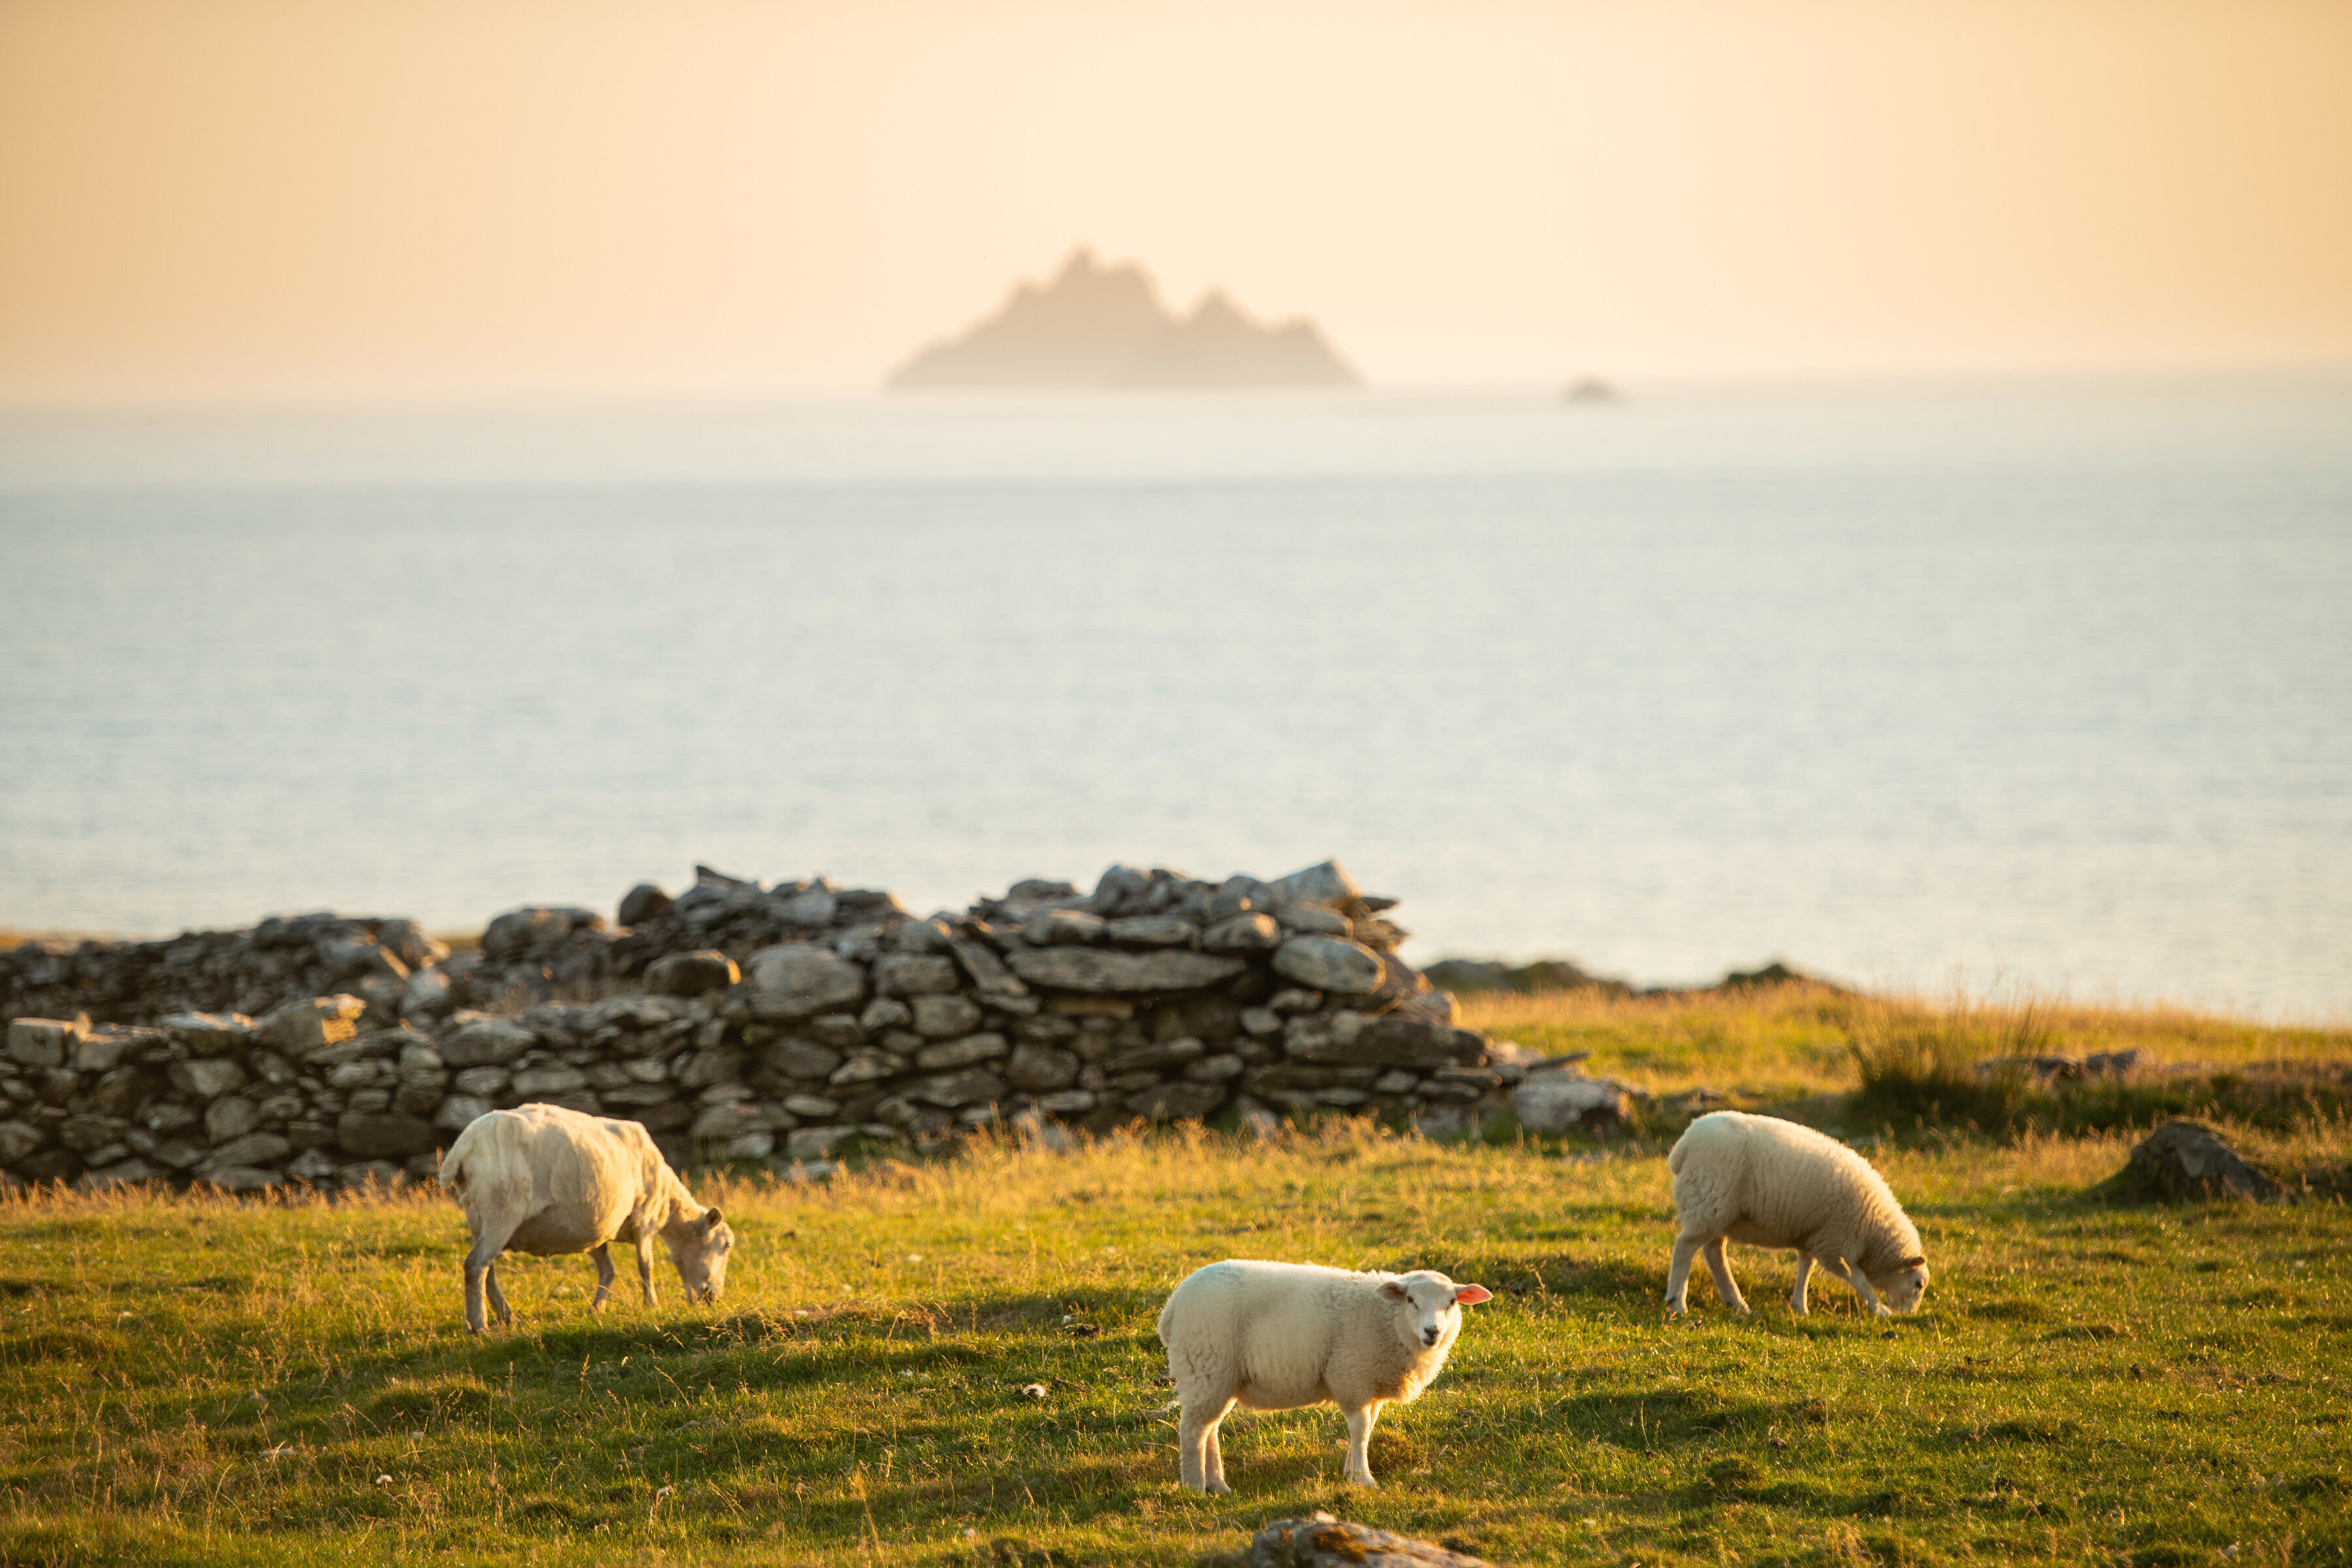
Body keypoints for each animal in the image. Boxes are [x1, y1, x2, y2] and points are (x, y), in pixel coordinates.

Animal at [437, 1102, 734, 1334]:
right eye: (727, 1245)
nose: (712, 1299)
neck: (668, 1203)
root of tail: (463, 1147)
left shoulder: (595, 1228)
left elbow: (608, 1270)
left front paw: (597, 1310)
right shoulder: (644, 1216)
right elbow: (645, 1266)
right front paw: (651, 1305)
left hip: (477, 1216)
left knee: (487, 1270)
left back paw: (506, 1317)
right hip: (502, 1210)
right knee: (475, 1265)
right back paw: (478, 1325)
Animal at [1156, 1259, 1493, 1493]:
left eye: (1451, 1303)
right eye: (1411, 1300)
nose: (1432, 1332)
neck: (1387, 1320)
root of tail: (1171, 1308)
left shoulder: (1370, 1384)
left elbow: (1369, 1427)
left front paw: (1351, 1471)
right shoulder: (1351, 1376)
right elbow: (1360, 1428)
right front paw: (1364, 1479)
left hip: (1218, 1377)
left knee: (1208, 1428)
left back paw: (1218, 1485)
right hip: (1206, 1364)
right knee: (1193, 1430)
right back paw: (1195, 1487)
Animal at [1665, 1110, 1929, 1319]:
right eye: (1918, 1285)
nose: (1909, 1316)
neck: (1873, 1229)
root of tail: (1682, 1146)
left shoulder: (1815, 1234)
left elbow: (1807, 1267)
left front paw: (1800, 1306)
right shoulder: (1836, 1242)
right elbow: (1857, 1279)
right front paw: (1880, 1309)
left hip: (1720, 1212)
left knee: (1714, 1252)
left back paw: (1737, 1303)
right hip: (1709, 1201)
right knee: (1685, 1247)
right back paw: (1678, 1303)